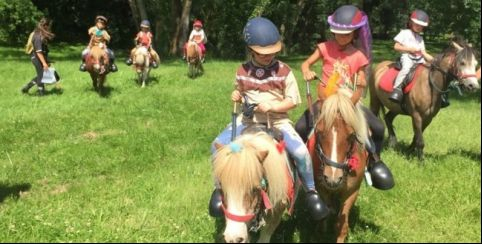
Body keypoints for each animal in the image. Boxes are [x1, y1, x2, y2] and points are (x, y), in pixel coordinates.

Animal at [308, 92, 370, 243]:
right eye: (319, 132)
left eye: (351, 135)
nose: (333, 179)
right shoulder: (322, 188)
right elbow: (324, 218)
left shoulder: (352, 192)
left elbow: (342, 225)